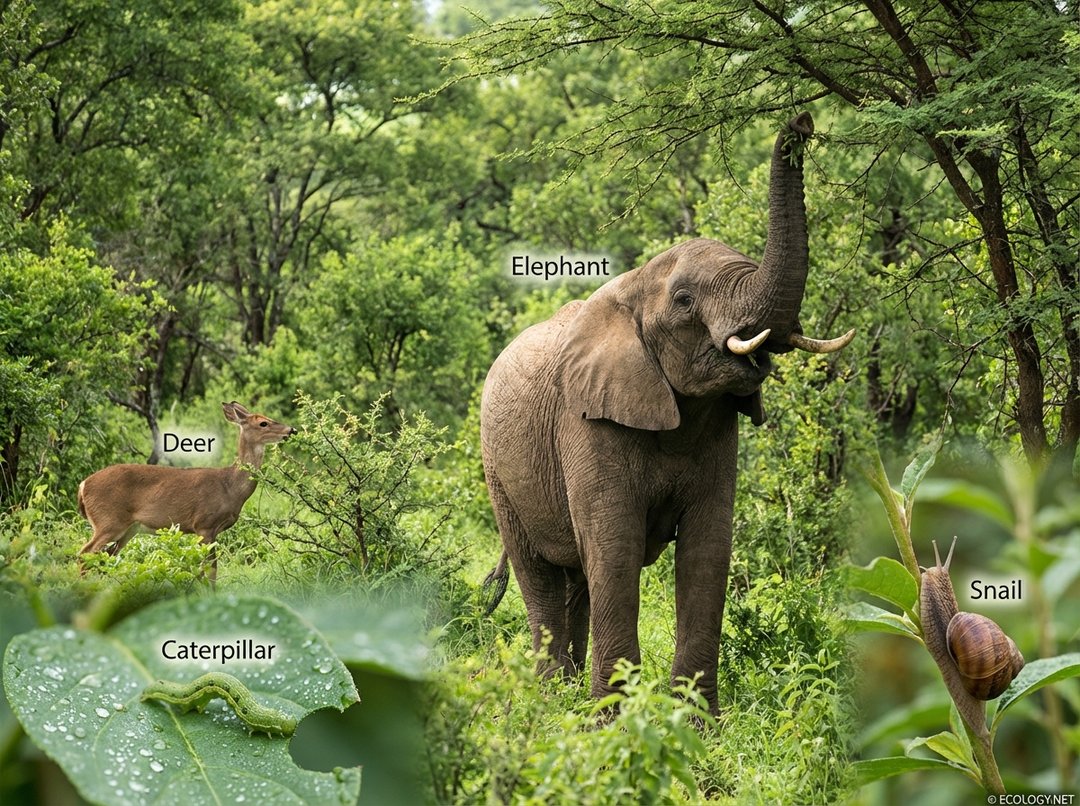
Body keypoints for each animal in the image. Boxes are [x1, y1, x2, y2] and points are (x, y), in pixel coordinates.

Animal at [77, 401, 296, 579]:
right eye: (263, 423)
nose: (291, 429)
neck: (230, 487)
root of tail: (83, 485)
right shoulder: (204, 524)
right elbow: (210, 570)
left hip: (128, 529)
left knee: (104, 557)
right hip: (109, 520)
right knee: (84, 554)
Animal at [479, 112, 854, 712]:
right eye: (683, 301)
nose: (801, 119)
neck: (635, 284)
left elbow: (707, 550)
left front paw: (696, 723)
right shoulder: (586, 423)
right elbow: (615, 549)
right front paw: (614, 723)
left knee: (577, 581)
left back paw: (570, 695)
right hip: (499, 471)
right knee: (540, 574)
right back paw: (554, 700)